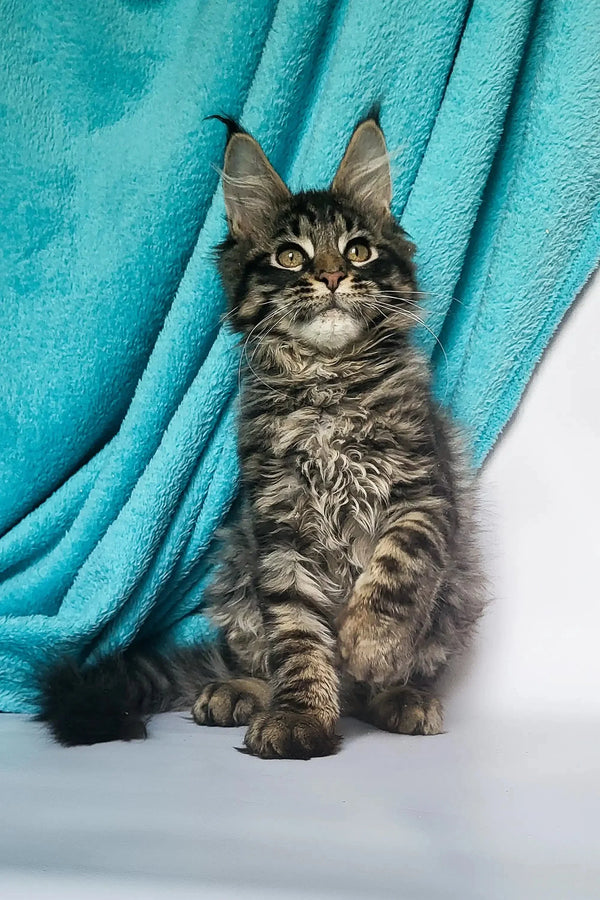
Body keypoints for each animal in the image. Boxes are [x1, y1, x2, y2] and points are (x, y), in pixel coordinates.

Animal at [39, 114, 486, 760]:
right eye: (290, 256)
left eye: (358, 250)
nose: (332, 276)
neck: (327, 386)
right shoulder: (280, 528)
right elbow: (297, 638)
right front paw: (300, 718)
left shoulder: (424, 494)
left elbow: (395, 573)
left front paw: (371, 644)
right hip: (236, 572)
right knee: (254, 658)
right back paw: (237, 692)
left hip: (455, 593)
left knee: (388, 676)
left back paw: (398, 695)